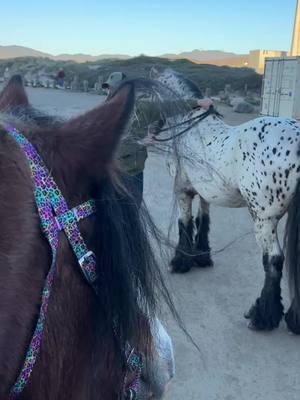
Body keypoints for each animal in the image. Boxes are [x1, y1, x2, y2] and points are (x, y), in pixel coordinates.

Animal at [152, 66, 300, 334]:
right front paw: (201, 257)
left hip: (264, 220)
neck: (192, 128)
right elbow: (203, 222)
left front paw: (180, 262)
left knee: (274, 261)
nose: (151, 129)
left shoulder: (182, 192)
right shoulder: (205, 192)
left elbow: (184, 224)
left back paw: (262, 317)